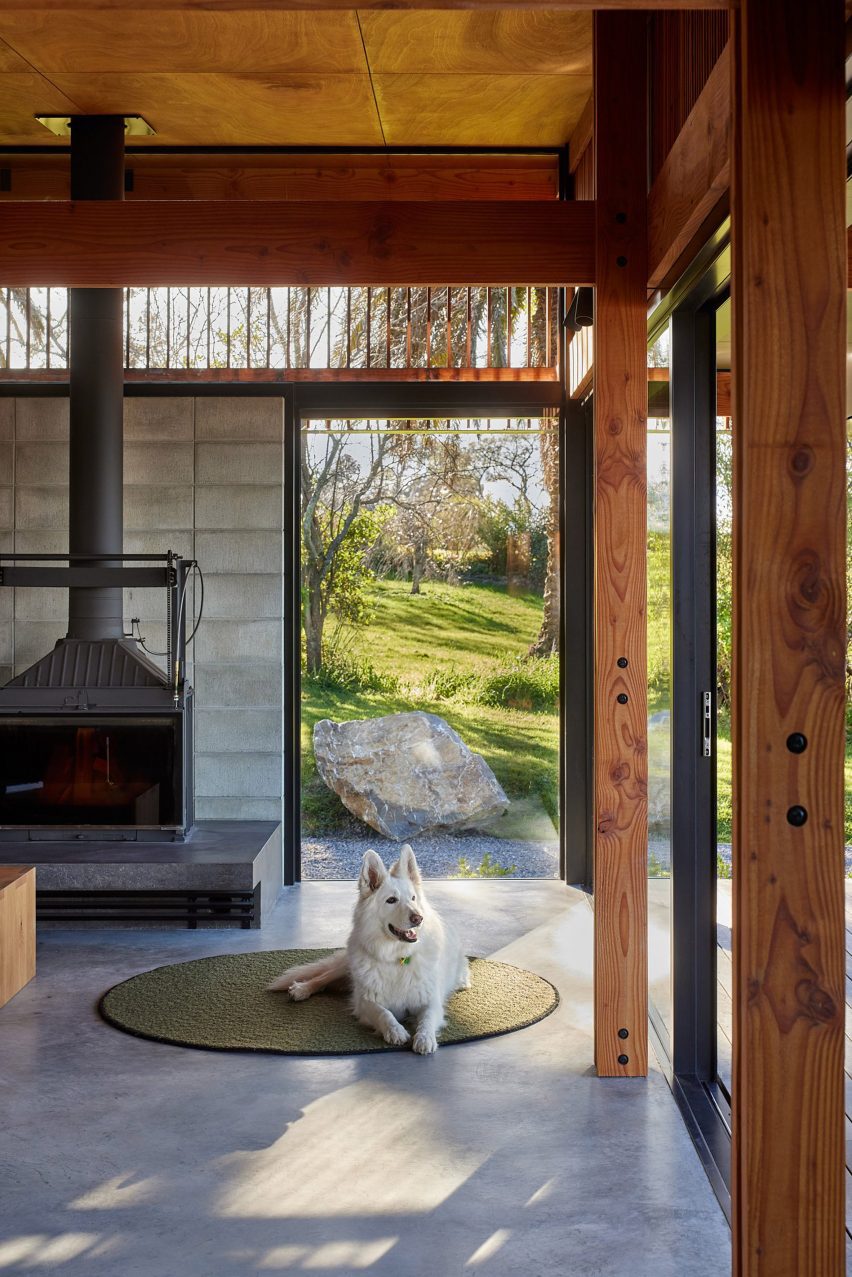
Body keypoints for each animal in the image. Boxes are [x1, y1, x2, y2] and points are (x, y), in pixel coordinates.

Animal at [269, 847, 470, 1057]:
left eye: (413, 898)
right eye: (391, 900)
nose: (418, 918)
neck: (396, 958)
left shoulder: (430, 1001)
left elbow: (427, 1019)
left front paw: (425, 1038)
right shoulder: (365, 1001)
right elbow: (383, 1013)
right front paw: (395, 1030)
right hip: (347, 967)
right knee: (323, 977)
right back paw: (301, 989)